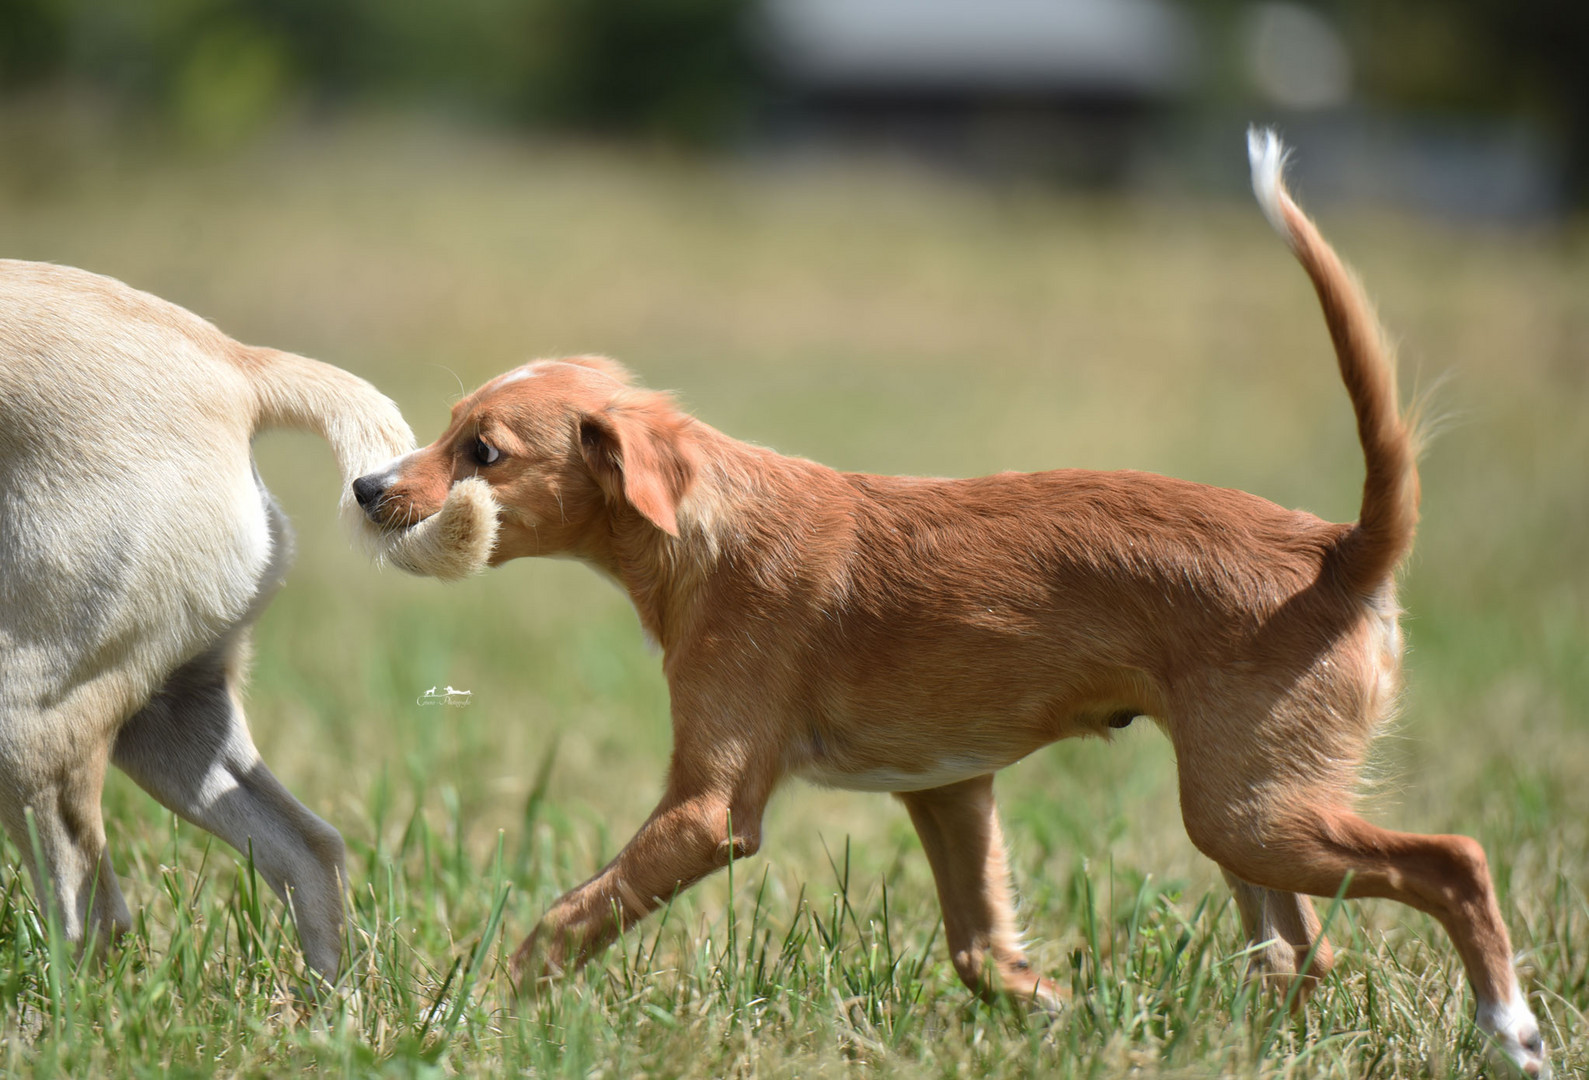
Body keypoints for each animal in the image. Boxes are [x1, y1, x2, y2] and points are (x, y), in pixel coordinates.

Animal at [0, 263, 470, 978]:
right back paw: (334, 1003)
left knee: (91, 914)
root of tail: (233, 365)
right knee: (309, 850)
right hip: (171, 718)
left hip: (28, 719)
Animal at [354, 132, 1544, 1073]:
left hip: (1249, 807)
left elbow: (560, 923)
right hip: (1243, 811)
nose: (366, 488)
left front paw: (460, 1017)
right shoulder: (947, 786)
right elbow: (979, 950)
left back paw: (1509, 1027)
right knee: (1302, 951)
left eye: (483, 452)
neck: (710, 523)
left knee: (1451, 863)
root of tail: (1337, 551)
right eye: (445, 429)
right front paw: (1057, 1010)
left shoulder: (709, 811)